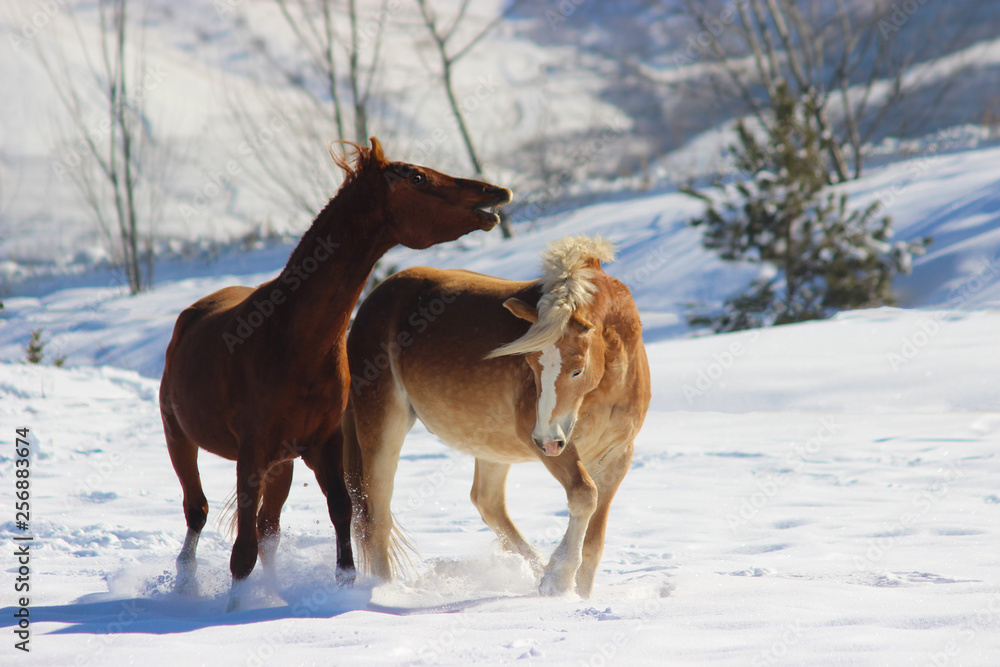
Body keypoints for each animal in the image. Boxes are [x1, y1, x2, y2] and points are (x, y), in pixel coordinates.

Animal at [158, 137, 511, 611]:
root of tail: (192, 313)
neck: (289, 337)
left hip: (282, 466)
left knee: (268, 529)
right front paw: (233, 610)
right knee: (197, 512)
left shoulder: (323, 446)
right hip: (180, 438)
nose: (495, 192)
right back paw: (185, 587)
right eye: (417, 177)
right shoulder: (251, 455)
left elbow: (342, 519)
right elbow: (241, 553)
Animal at [341, 235, 651, 597]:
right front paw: (559, 579)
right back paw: (385, 592)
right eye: (529, 363)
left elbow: (594, 541)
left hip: (493, 447)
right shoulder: (556, 448)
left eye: (577, 369)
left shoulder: (617, 456)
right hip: (383, 426)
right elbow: (584, 496)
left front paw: (577, 594)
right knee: (377, 517)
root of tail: (373, 299)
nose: (546, 439)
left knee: (486, 503)